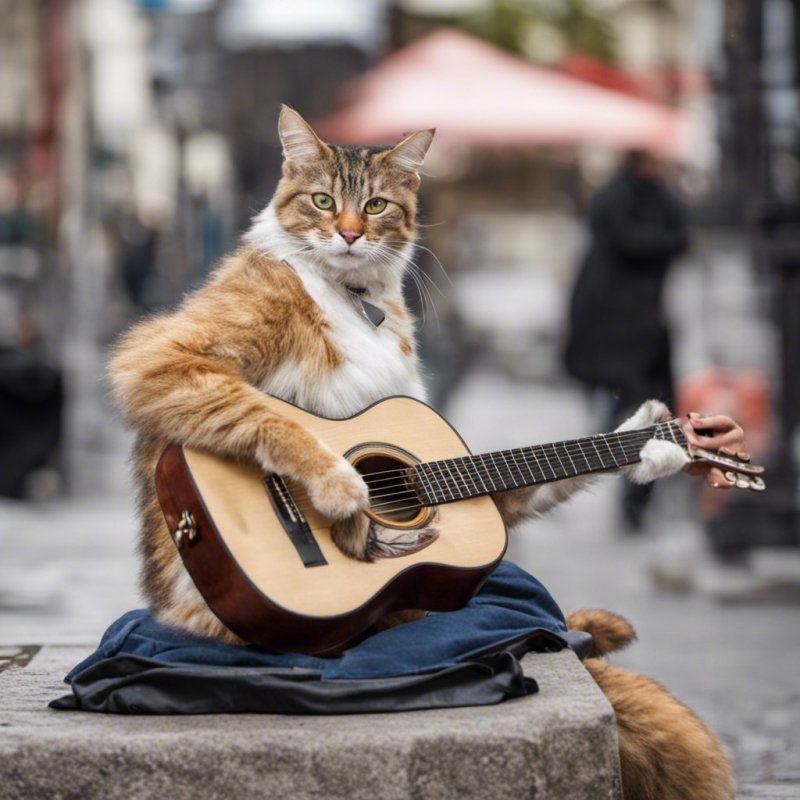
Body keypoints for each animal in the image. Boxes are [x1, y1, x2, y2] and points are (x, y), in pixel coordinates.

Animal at [109, 106, 736, 800]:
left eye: (376, 205)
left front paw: (656, 443)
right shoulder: (163, 358)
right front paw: (343, 489)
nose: (349, 234)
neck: (358, 296)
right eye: (323, 201)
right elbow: (267, 417)